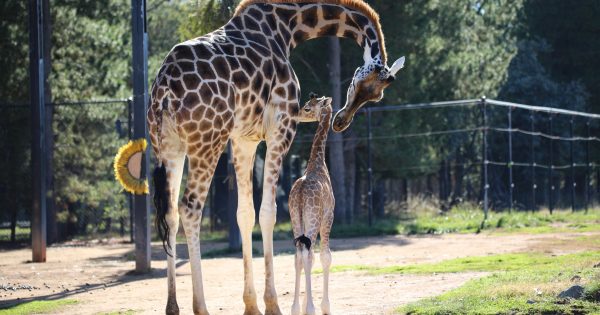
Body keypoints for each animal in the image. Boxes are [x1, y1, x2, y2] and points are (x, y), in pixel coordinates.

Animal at [148, 1, 406, 314]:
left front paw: (251, 304)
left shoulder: (243, 139)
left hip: (168, 146)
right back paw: (201, 307)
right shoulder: (280, 126)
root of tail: (164, 90)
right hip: (207, 141)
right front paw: (272, 303)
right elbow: (268, 213)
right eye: (363, 85)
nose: (341, 121)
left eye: (375, 95)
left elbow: (245, 214)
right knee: (190, 208)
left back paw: (172, 306)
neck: (287, 27)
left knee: (170, 213)